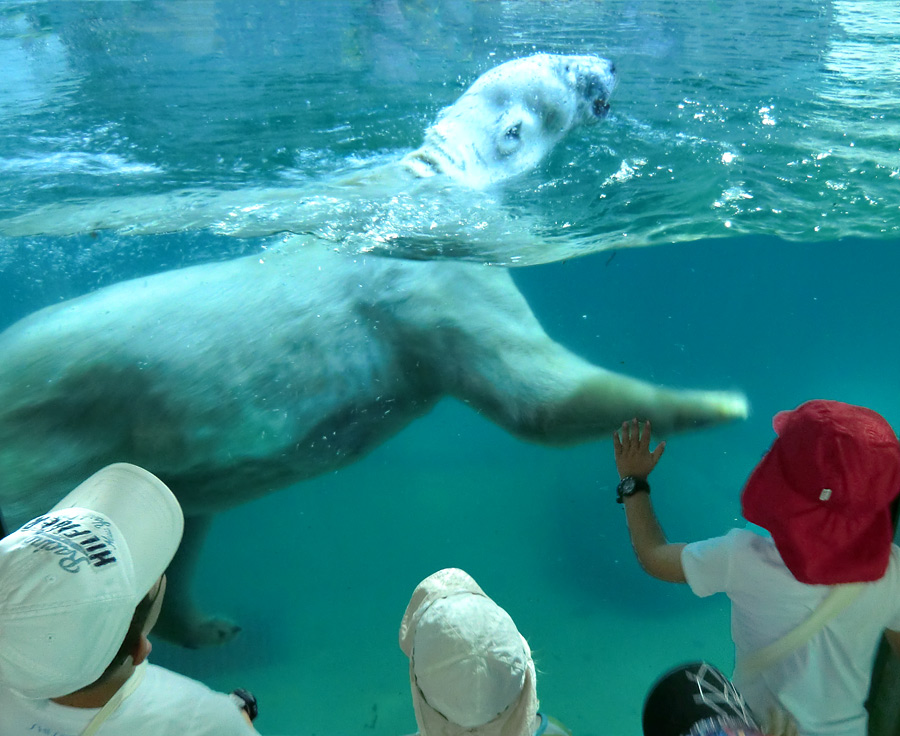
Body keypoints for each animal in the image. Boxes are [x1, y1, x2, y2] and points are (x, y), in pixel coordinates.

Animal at [0, 56, 744, 644]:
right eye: (566, 72)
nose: (610, 64)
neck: (427, 183)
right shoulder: (437, 276)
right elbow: (533, 396)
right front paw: (714, 404)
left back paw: (206, 625)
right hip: (48, 438)